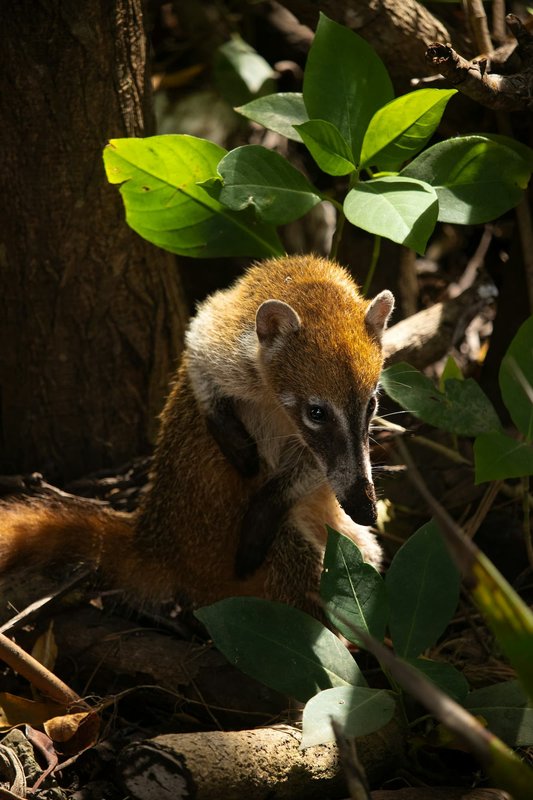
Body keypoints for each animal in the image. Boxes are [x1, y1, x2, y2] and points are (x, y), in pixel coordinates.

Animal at [0, 255, 393, 620]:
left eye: (372, 404)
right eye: (316, 413)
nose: (366, 509)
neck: (313, 290)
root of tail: (153, 538)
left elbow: (314, 464)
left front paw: (272, 498)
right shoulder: (231, 338)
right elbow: (196, 344)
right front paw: (218, 418)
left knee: (365, 554)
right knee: (303, 574)